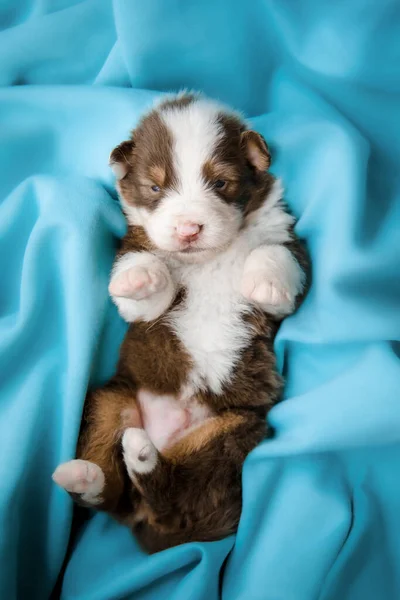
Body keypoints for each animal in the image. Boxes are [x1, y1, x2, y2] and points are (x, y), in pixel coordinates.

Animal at [53, 94, 308, 552]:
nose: (189, 229)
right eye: (155, 188)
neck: (209, 258)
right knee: (114, 495)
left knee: (170, 492)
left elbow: (276, 254)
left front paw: (264, 282)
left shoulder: (287, 239)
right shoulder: (139, 270)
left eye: (221, 183)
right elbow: (140, 285)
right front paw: (140, 277)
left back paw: (139, 458)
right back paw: (87, 475)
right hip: (109, 401)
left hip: (234, 430)